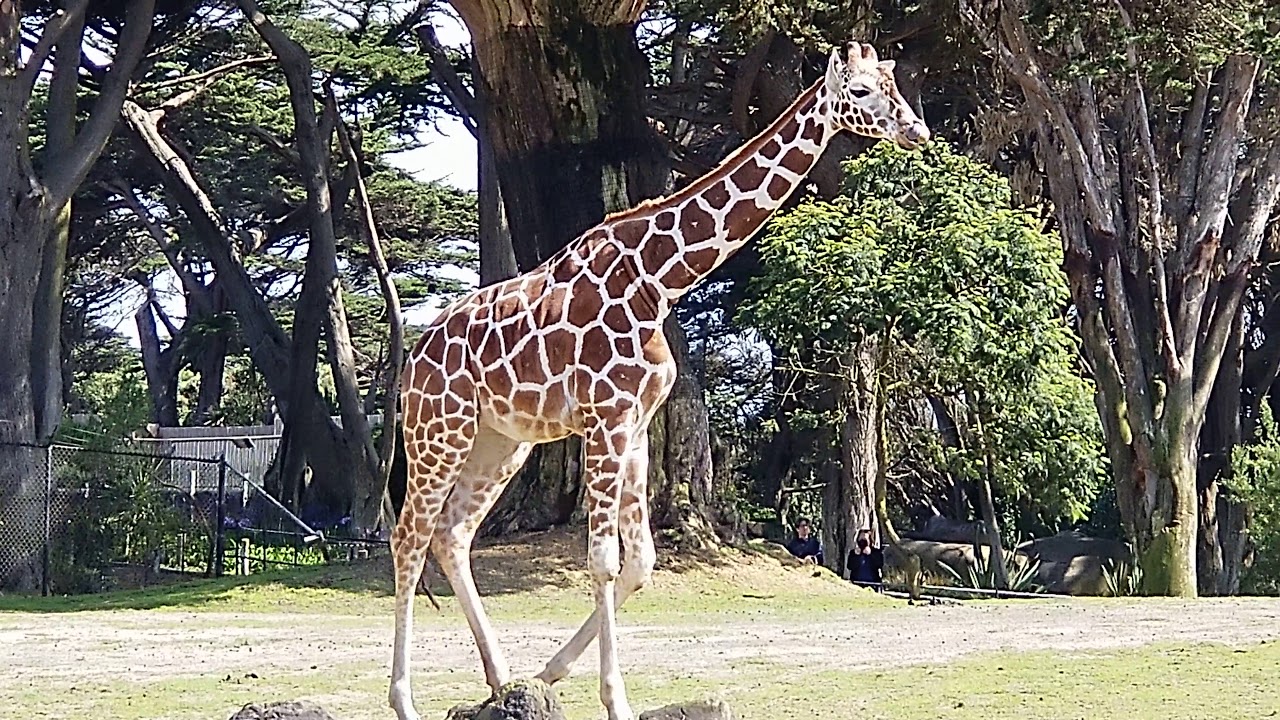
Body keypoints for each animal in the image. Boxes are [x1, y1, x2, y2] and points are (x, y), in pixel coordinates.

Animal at [389, 41, 928, 720]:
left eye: (894, 84)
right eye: (859, 93)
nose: (917, 130)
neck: (658, 279)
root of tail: (413, 358)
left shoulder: (638, 424)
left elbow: (642, 562)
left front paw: (552, 671)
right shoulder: (606, 419)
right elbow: (602, 561)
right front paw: (613, 699)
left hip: (501, 440)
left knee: (452, 534)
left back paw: (502, 678)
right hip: (440, 433)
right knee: (408, 538)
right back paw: (404, 699)